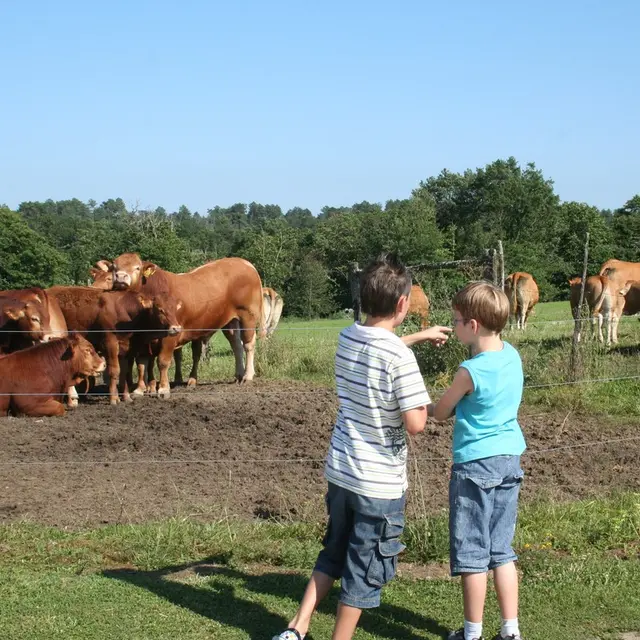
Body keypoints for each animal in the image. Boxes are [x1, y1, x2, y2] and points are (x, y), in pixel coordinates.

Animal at [48, 286, 180, 402]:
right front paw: (114, 398)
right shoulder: (110, 344)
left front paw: (126, 397)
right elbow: (114, 370)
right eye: (160, 310)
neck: (125, 311)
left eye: (175, 309)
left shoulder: (125, 348)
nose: (176, 328)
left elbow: (124, 371)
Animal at [94, 254, 264, 396]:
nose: (121, 276)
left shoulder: (171, 334)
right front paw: (140, 389)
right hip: (230, 321)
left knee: (248, 344)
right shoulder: (142, 337)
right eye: (114, 267)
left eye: (137, 267)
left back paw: (248, 375)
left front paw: (162, 388)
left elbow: (162, 361)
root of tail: (245, 263)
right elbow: (142, 363)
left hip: (248, 314)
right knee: (236, 344)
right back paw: (238, 374)